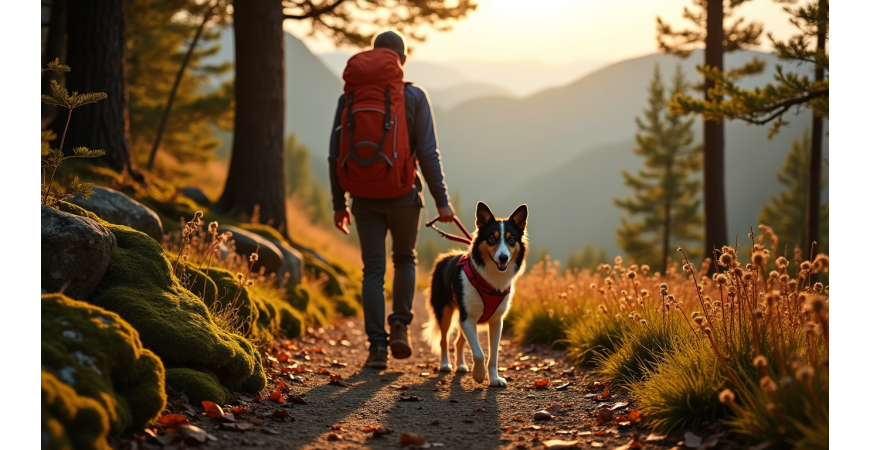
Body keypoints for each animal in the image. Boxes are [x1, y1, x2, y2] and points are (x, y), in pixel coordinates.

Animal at [422, 202, 532, 384]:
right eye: (492, 238)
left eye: (511, 240)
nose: (503, 258)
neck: (490, 279)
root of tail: (444, 257)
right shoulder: (468, 318)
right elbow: (479, 353)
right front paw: (479, 375)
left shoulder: (496, 321)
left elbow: (493, 355)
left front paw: (494, 379)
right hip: (444, 311)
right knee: (444, 340)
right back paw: (445, 364)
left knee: (458, 342)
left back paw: (460, 365)